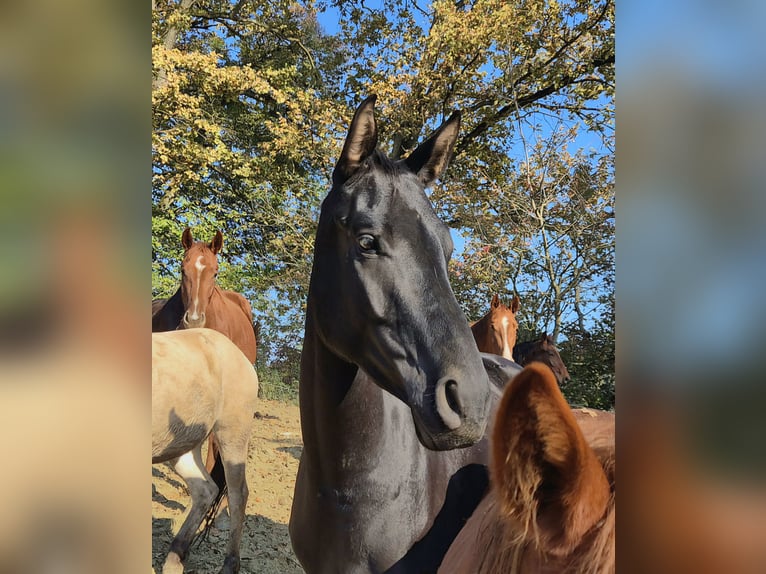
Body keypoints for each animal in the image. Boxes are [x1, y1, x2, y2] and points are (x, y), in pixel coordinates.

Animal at [152, 328, 260, 574]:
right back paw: (175, 557)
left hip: (232, 432)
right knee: (206, 489)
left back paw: (229, 565)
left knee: (237, 494)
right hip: (182, 444)